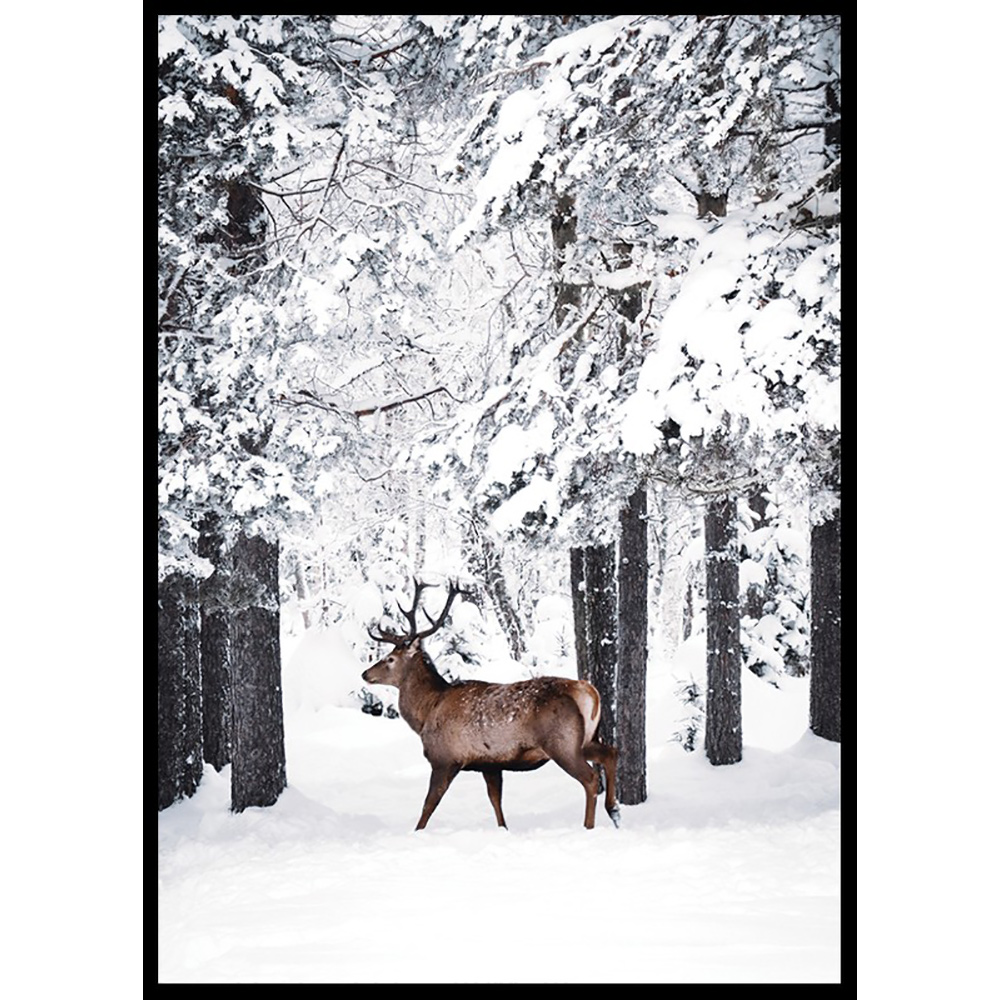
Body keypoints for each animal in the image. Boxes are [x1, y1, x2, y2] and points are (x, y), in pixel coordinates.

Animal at [361, 580, 620, 831]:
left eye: (390, 659)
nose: (365, 674)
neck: (426, 712)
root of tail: (588, 691)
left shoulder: (445, 758)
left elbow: (429, 804)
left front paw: (417, 832)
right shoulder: (489, 764)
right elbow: (496, 801)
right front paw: (503, 829)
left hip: (561, 742)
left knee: (590, 778)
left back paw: (589, 826)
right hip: (585, 739)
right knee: (611, 753)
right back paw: (614, 811)